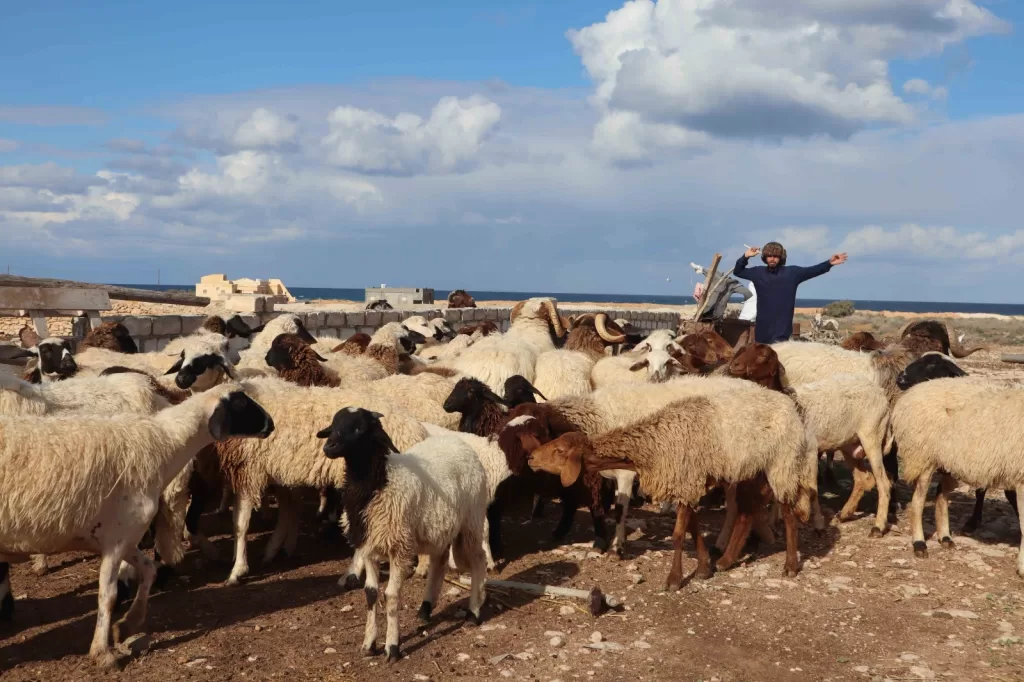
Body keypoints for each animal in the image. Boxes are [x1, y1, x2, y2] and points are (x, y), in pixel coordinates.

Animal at [0, 382, 274, 663]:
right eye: (240, 404)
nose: (271, 424)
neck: (164, 445)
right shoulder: (116, 539)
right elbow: (107, 595)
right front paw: (103, 653)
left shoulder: (127, 539)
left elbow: (149, 570)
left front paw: (127, 625)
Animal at [313, 405, 485, 659]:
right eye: (334, 425)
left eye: (359, 428)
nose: (329, 446)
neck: (380, 483)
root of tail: (457, 441)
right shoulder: (369, 546)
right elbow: (371, 594)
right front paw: (369, 644)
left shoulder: (399, 548)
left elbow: (391, 596)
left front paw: (392, 647)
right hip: (441, 527)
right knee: (439, 562)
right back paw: (425, 609)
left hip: (472, 519)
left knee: (478, 560)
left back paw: (474, 612)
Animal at [528, 382, 815, 585]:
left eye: (560, 451)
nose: (531, 457)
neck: (656, 441)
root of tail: (787, 402)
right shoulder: (686, 481)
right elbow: (692, 528)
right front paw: (703, 568)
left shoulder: (686, 479)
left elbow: (678, 533)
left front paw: (674, 579)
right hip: (750, 470)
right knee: (747, 511)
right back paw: (726, 560)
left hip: (781, 463)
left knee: (787, 514)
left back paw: (790, 565)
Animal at [892, 376, 1024, 573]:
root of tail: (912, 391)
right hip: (923, 455)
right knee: (918, 501)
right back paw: (919, 544)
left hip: (948, 462)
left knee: (941, 494)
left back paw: (945, 537)